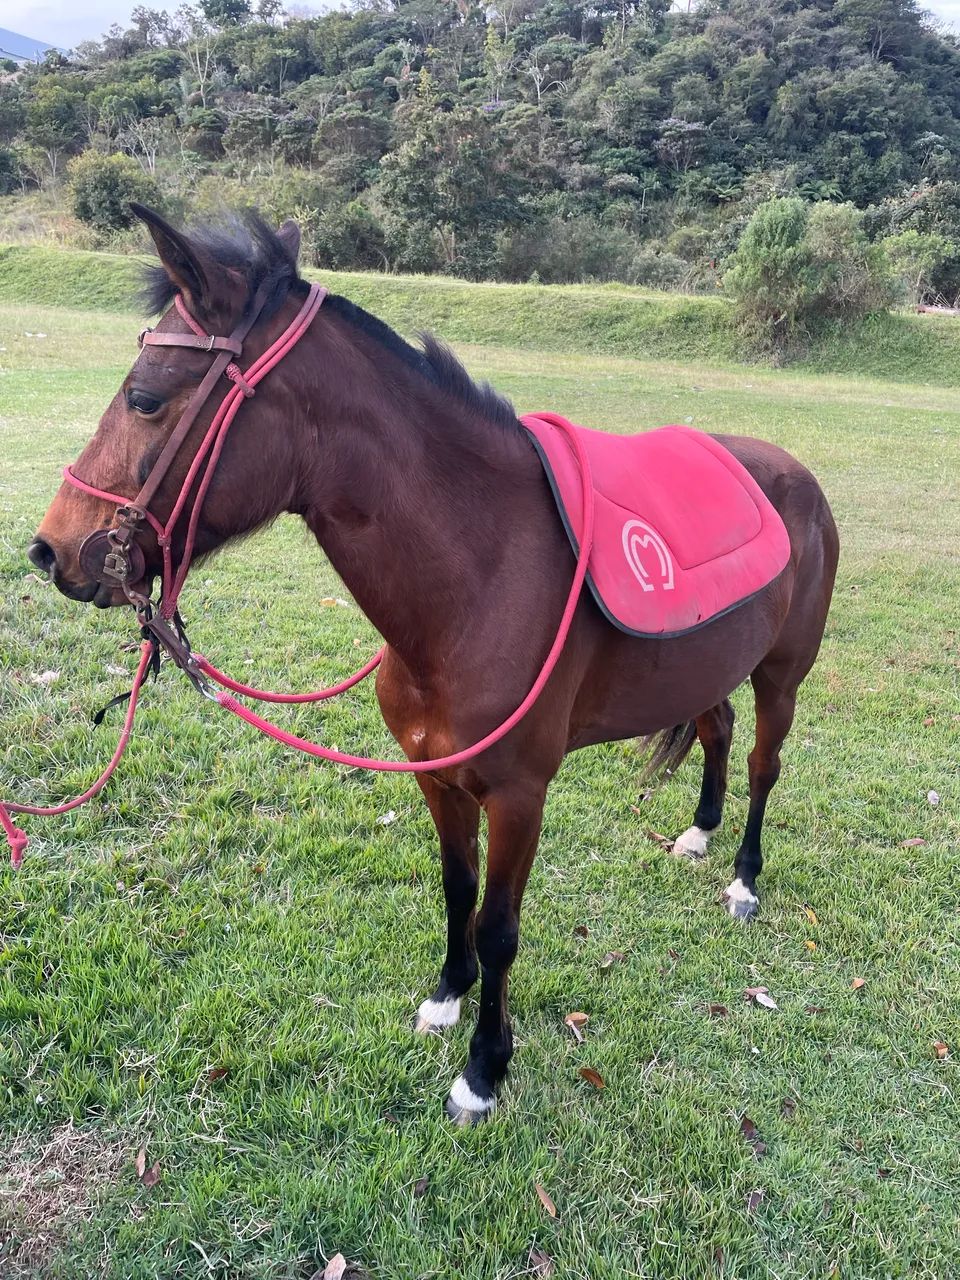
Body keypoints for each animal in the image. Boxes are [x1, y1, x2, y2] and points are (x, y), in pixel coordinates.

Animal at [27, 207, 839, 1125]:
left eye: (145, 397)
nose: (51, 549)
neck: (483, 577)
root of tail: (793, 472)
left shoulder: (520, 795)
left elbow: (499, 926)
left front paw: (483, 1071)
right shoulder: (435, 775)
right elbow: (456, 891)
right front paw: (448, 997)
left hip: (782, 675)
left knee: (764, 761)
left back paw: (743, 878)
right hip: (705, 666)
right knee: (716, 727)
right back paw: (700, 831)